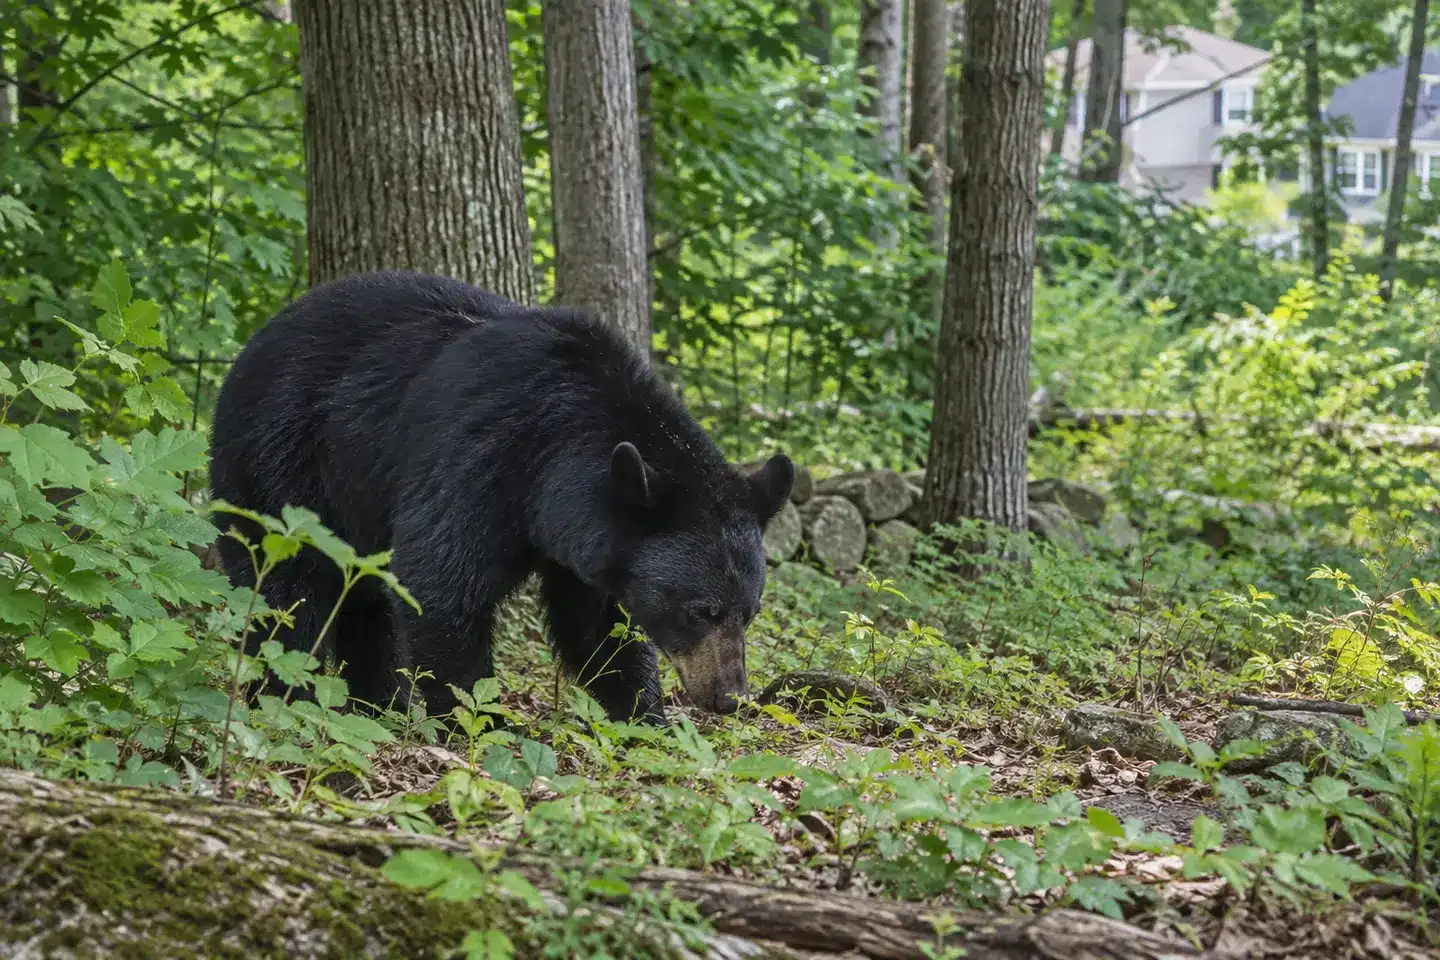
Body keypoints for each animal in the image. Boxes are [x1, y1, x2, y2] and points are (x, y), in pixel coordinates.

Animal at [208, 270, 794, 724]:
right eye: (702, 611)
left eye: (750, 613)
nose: (730, 697)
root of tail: (247, 349)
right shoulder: (481, 457)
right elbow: (440, 583)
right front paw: (481, 723)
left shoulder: (592, 538)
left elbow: (598, 626)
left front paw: (646, 719)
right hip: (281, 468)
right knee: (286, 591)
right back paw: (287, 698)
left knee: (363, 600)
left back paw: (380, 707)